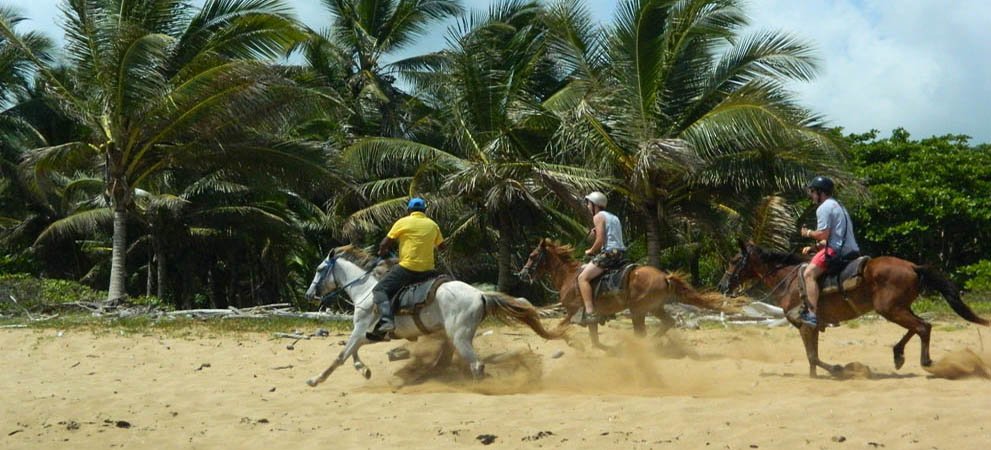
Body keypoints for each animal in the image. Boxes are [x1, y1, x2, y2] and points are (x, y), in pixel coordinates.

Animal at [302, 246, 564, 386]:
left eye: (319, 269)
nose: (309, 294)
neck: (366, 289)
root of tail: (480, 294)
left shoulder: (360, 329)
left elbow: (342, 356)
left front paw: (316, 379)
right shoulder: (368, 334)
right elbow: (354, 352)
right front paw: (363, 369)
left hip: (460, 337)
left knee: (477, 364)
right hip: (453, 336)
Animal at [516, 239, 732, 348]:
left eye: (532, 256)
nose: (523, 274)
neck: (569, 277)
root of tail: (664, 276)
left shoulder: (572, 311)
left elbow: (555, 328)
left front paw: (565, 338)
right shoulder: (588, 318)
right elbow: (595, 339)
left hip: (638, 311)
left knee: (643, 332)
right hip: (654, 308)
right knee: (667, 323)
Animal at [716, 241, 988, 378]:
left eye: (734, 260)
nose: (722, 286)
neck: (789, 280)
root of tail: (913, 266)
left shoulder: (805, 325)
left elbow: (813, 356)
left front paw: (835, 371)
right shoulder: (812, 327)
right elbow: (813, 356)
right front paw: (820, 375)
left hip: (890, 309)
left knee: (922, 327)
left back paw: (926, 361)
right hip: (897, 308)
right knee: (923, 325)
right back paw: (898, 354)